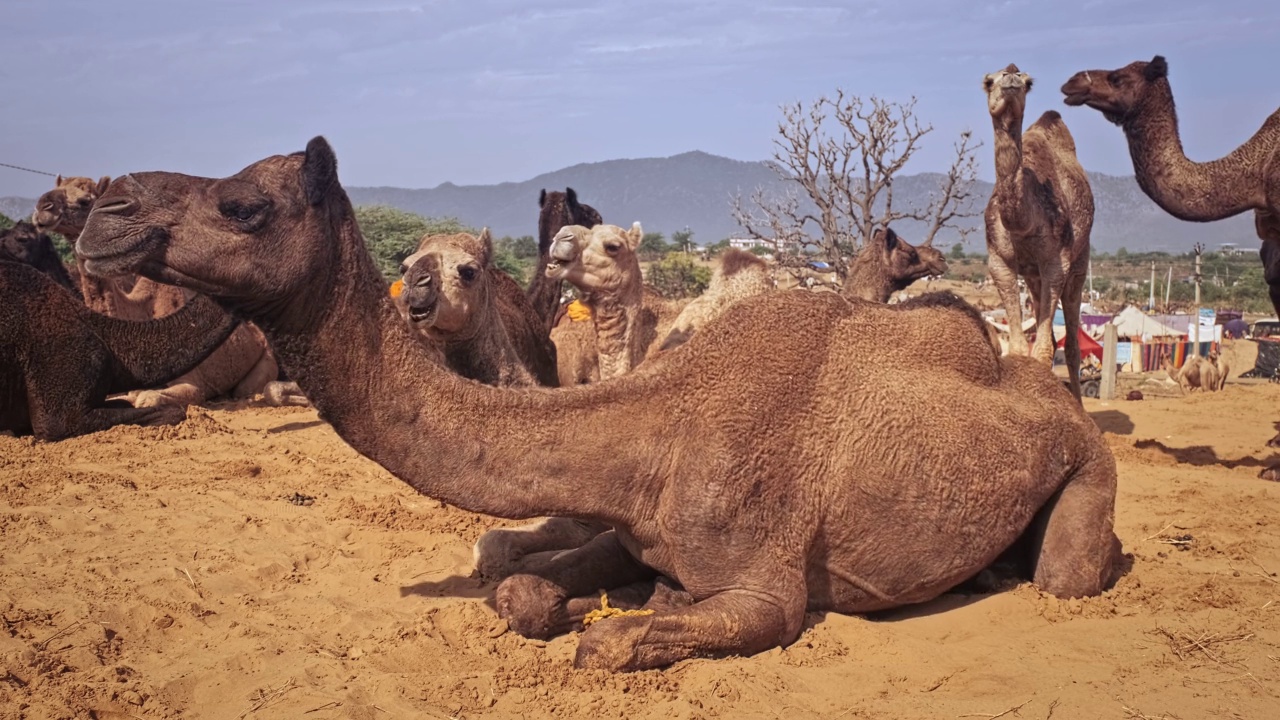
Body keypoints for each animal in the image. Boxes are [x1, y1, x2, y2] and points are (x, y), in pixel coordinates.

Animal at [977, 63, 1090, 397]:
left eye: (1028, 83)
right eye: (989, 81)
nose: (1011, 76)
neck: (1022, 221)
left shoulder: (1057, 262)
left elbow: (1041, 350)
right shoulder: (1000, 261)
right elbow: (1018, 347)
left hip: (1079, 263)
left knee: (1073, 345)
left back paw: (1079, 404)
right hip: (1032, 276)